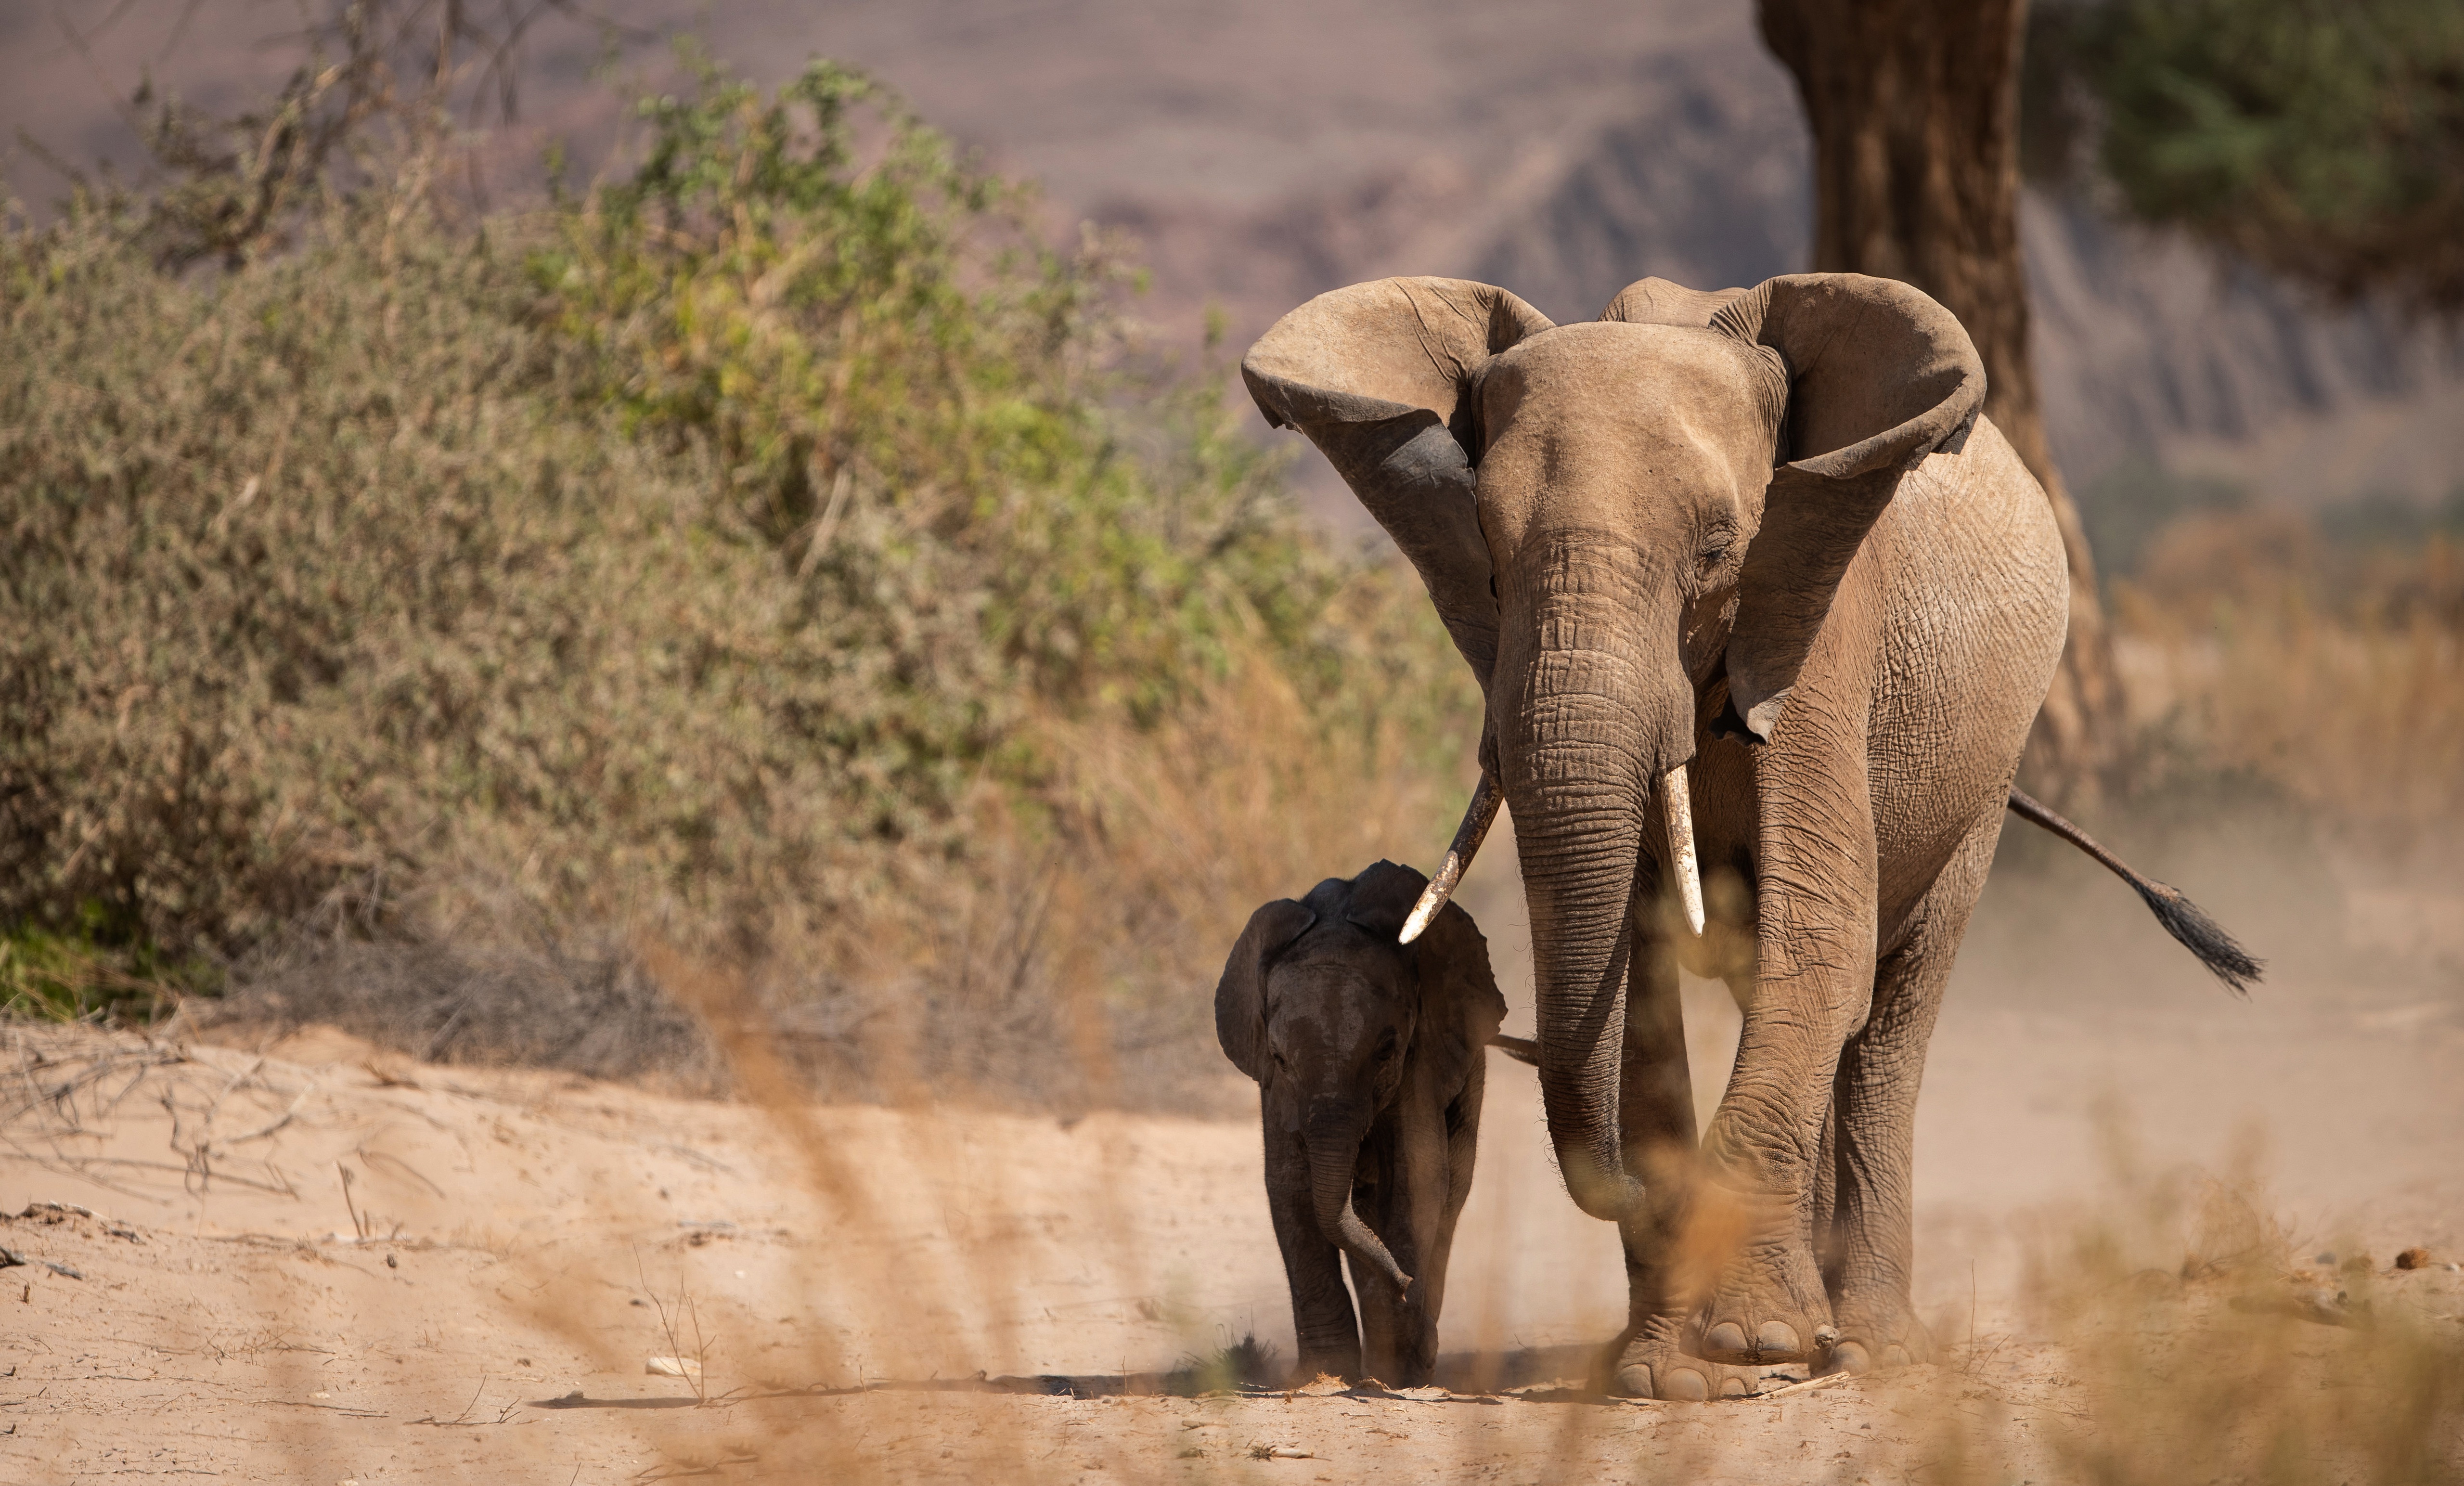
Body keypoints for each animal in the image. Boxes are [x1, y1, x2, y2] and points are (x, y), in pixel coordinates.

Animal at [1212, 853, 1498, 1390]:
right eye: (1279, 1059)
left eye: (1386, 1052)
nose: (1406, 1283)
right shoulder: (1277, 1093)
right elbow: (1290, 1185)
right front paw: (1325, 1375)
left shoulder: (1418, 1063)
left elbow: (1415, 1178)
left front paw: (1394, 1371)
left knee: (1451, 1190)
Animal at [1241, 273, 2069, 1399]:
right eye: (1486, 552)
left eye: (1719, 546)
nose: (1646, 1193)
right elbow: (1635, 979)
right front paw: (1667, 1371)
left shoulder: (1818, 625)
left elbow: (1821, 946)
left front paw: (1752, 1341)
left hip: (1985, 777)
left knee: (1889, 1008)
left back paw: (1864, 1346)